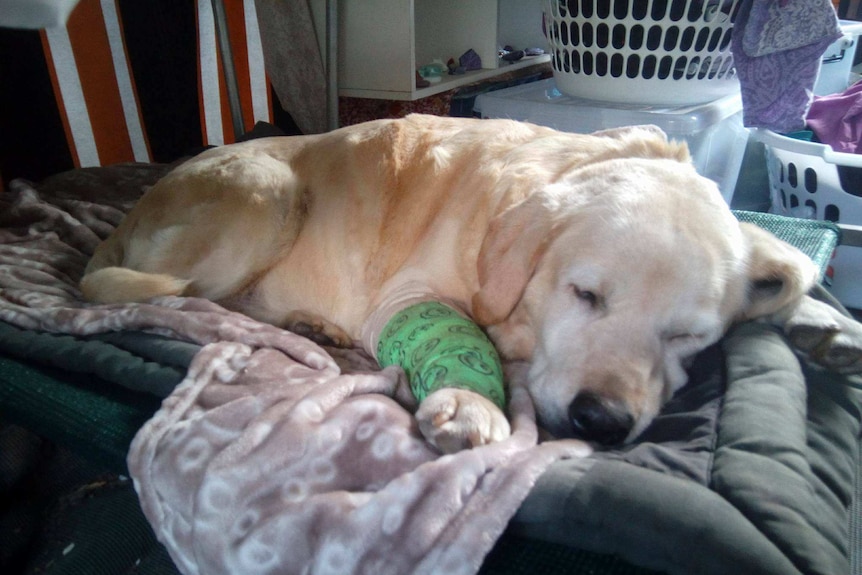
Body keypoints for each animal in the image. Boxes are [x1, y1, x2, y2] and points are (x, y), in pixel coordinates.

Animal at [81, 113, 862, 454]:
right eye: (585, 294)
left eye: (688, 336)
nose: (602, 422)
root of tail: (136, 206)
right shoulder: (409, 296)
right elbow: (456, 335)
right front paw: (470, 400)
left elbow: (780, 266)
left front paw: (825, 325)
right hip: (266, 194)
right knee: (185, 295)